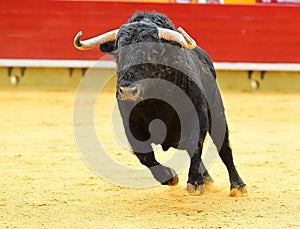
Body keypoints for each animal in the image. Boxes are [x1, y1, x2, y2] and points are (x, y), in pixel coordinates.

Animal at [74, 12, 246, 195]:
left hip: (217, 112)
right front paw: (170, 177)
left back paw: (237, 185)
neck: (156, 102)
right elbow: (144, 155)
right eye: (119, 54)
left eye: (151, 53)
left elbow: (196, 144)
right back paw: (207, 178)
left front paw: (195, 182)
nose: (127, 91)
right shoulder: (131, 123)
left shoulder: (197, 116)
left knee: (224, 148)